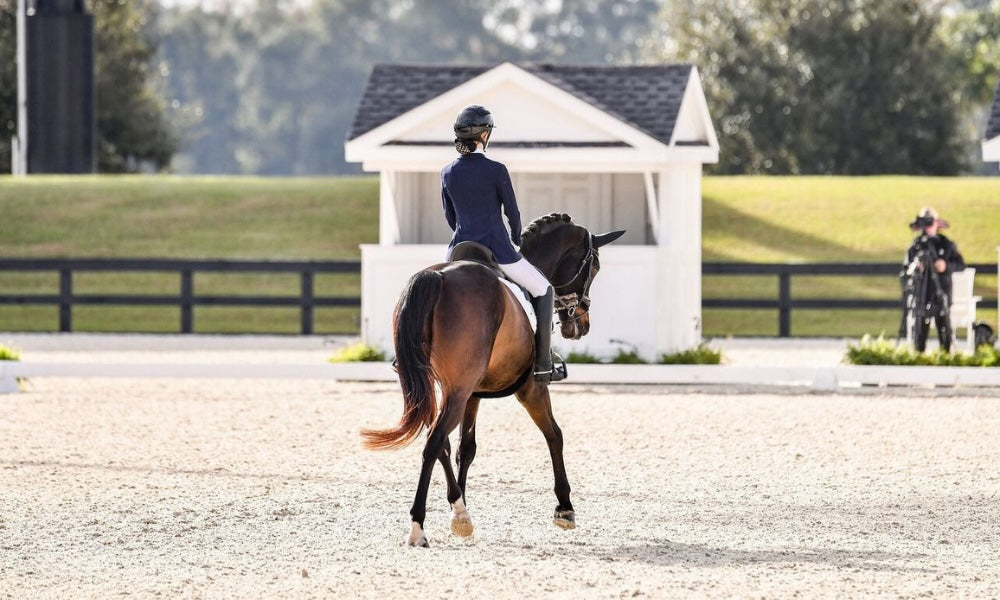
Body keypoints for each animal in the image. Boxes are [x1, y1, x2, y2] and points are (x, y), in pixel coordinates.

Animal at [360, 212, 624, 548]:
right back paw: (418, 528)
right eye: (595, 266)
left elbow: (466, 448)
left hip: (442, 388)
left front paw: (460, 510)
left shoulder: (473, 393)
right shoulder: (532, 389)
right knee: (434, 441)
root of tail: (437, 277)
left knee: (441, 442)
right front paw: (564, 508)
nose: (581, 325)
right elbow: (555, 435)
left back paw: (459, 513)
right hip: (461, 389)